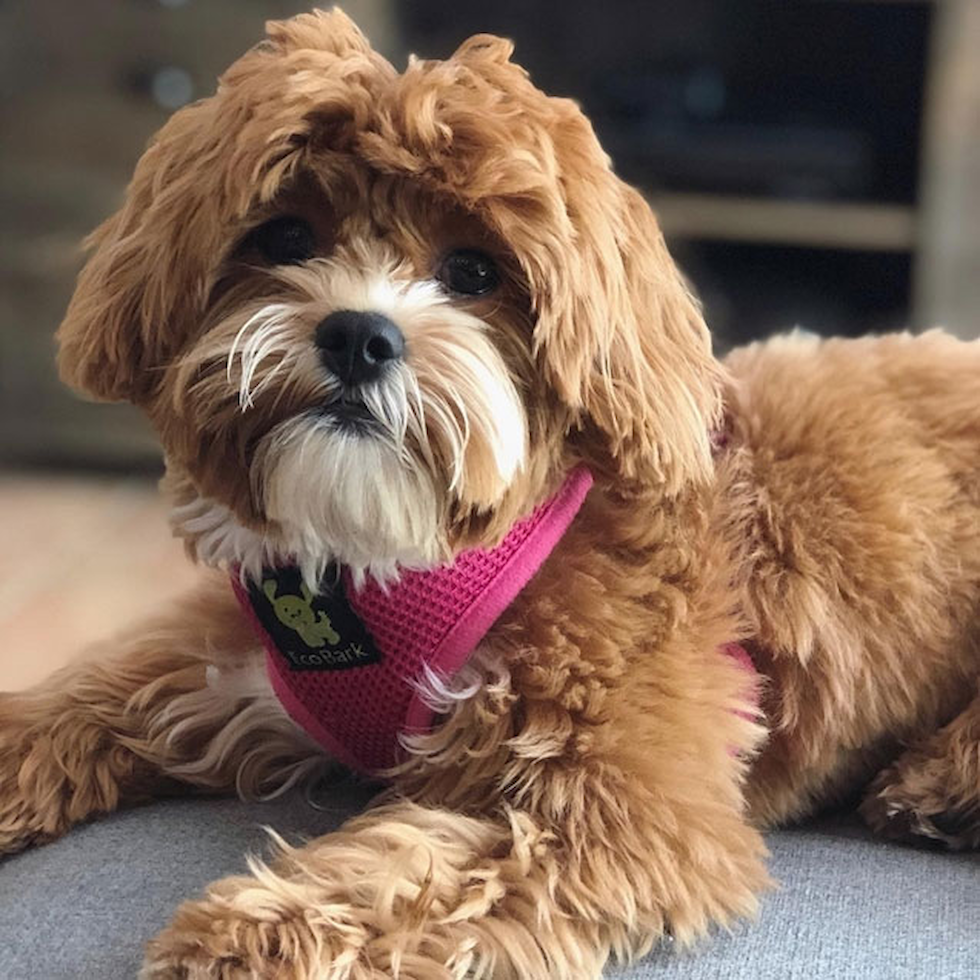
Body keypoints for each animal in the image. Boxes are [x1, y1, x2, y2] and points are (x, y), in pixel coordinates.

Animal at [1, 9, 980, 980]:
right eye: (285, 238)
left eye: (474, 271)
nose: (357, 335)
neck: (391, 557)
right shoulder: (218, 659)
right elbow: (83, 694)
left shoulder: (623, 819)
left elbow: (410, 878)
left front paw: (248, 939)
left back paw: (942, 783)